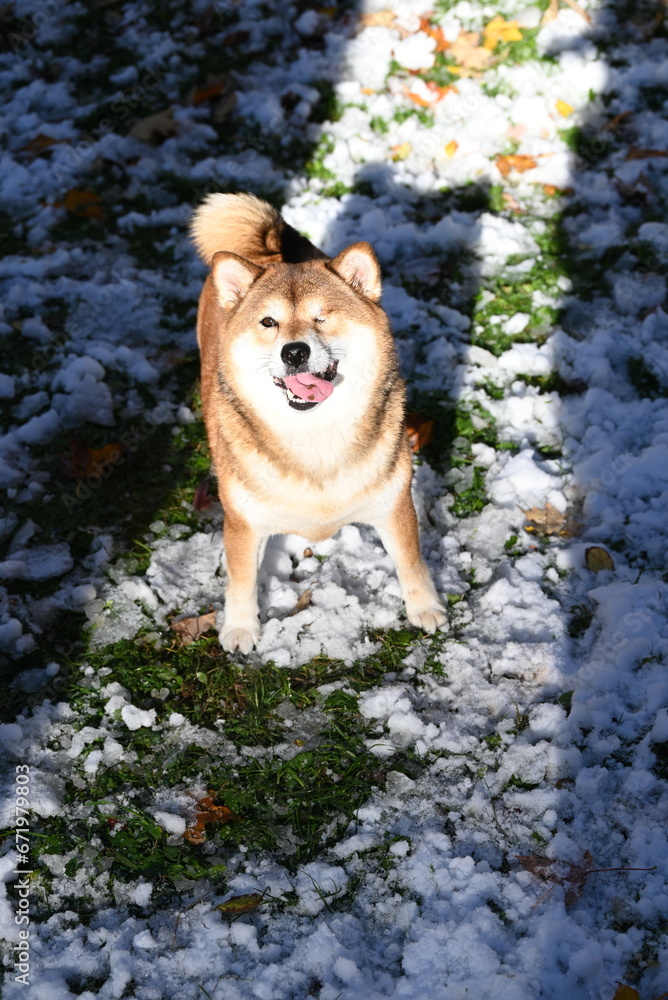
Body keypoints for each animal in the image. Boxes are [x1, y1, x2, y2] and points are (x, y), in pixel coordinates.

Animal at [190, 191, 446, 652]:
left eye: (322, 317)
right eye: (268, 322)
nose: (294, 351)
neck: (315, 438)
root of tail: (268, 249)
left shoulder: (394, 504)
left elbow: (411, 562)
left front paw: (425, 608)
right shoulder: (243, 522)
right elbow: (241, 579)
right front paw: (240, 628)